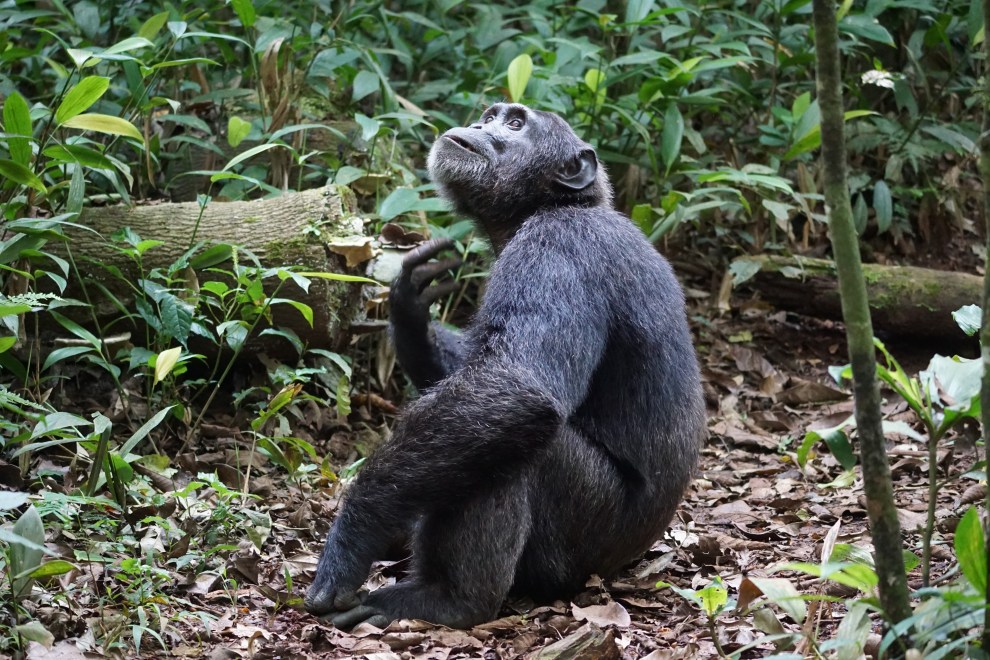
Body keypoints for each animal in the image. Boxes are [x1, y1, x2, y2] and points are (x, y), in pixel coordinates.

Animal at [305, 103, 706, 629]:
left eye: (514, 124)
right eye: (489, 114)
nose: (479, 126)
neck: (548, 207)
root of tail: (627, 564)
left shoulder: (556, 250)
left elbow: (514, 384)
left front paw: (354, 535)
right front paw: (410, 309)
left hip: (581, 543)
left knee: (517, 440)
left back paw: (447, 599)